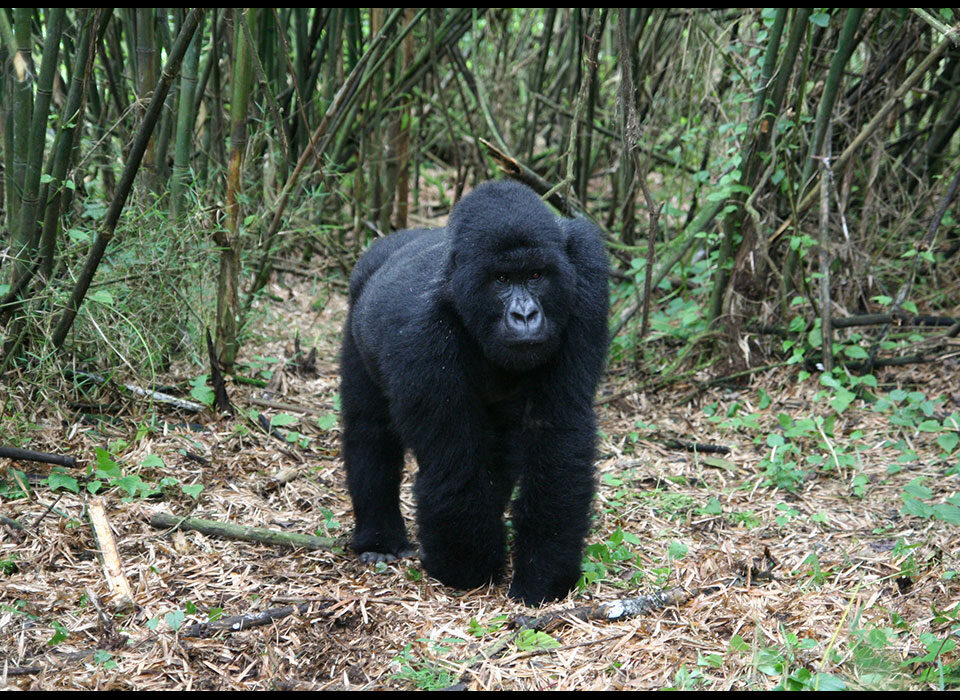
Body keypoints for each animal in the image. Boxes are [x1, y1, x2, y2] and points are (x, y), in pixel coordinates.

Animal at [338, 180, 608, 608]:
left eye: (535, 275)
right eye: (501, 280)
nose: (525, 315)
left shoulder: (587, 275)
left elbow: (557, 433)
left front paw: (544, 574)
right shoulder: (422, 331)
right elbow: (454, 460)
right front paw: (468, 569)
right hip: (353, 319)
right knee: (370, 430)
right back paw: (379, 539)